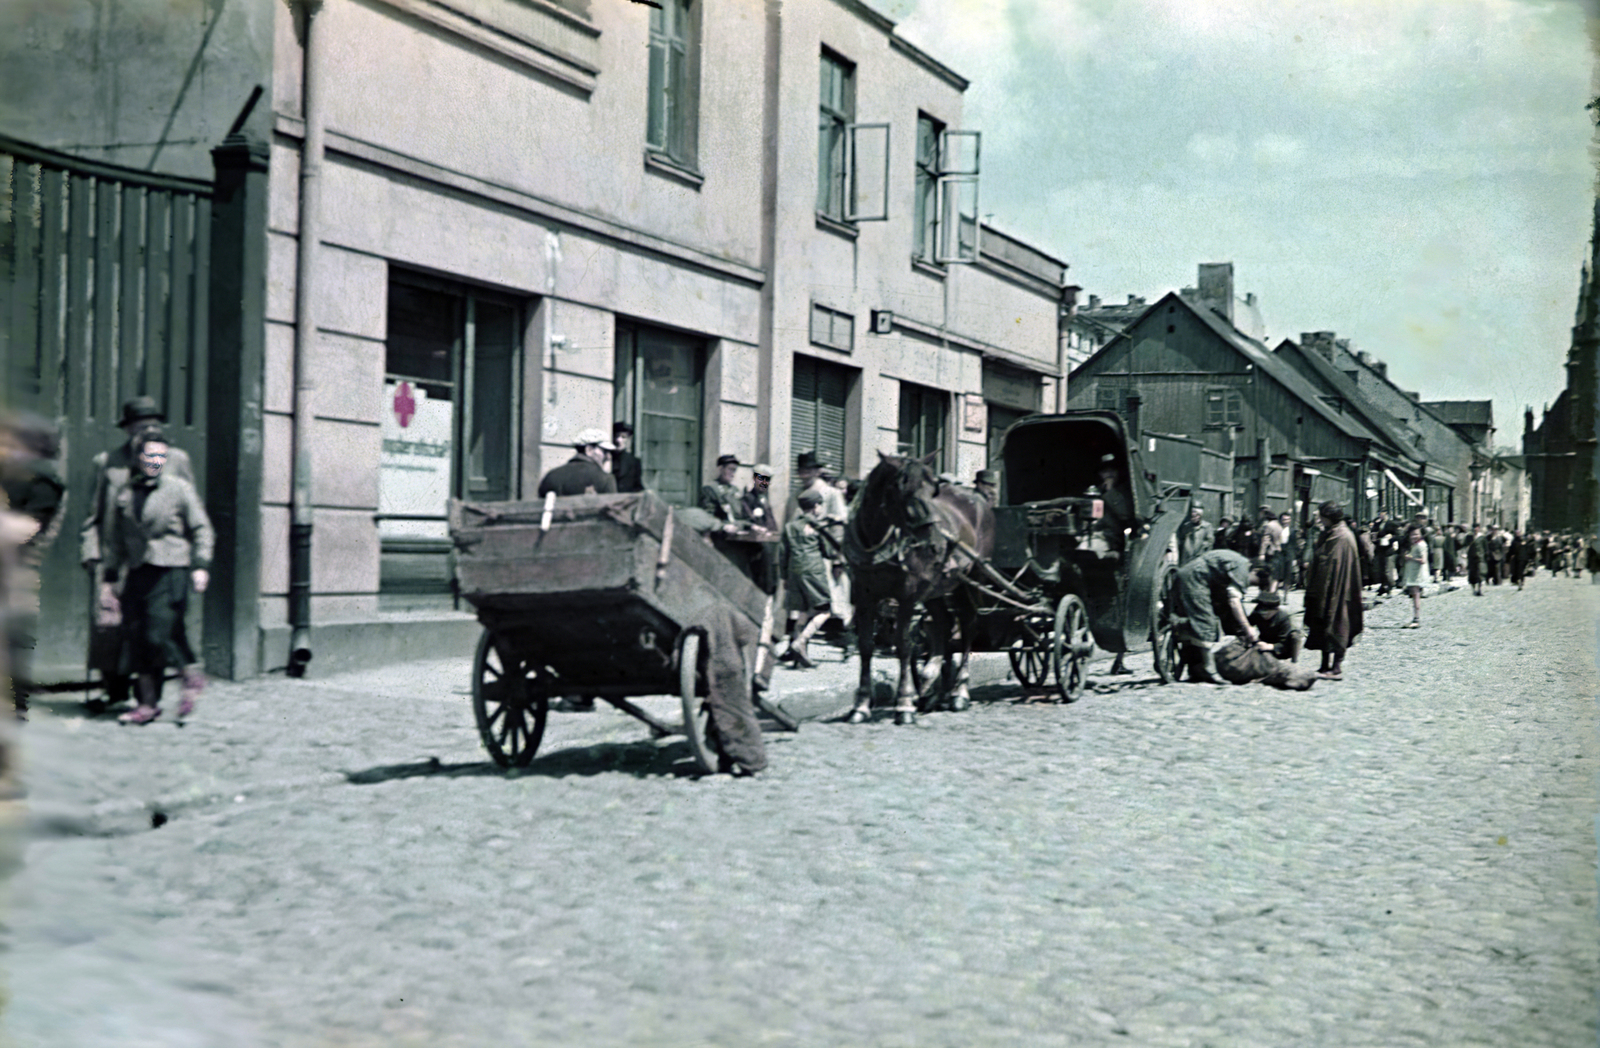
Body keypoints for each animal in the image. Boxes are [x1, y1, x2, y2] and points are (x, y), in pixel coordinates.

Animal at [844, 451, 992, 729]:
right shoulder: (863, 594)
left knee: (968, 626)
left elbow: (904, 645)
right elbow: (866, 646)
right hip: (936, 587)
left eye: (933, 490)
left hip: (969, 579)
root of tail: (981, 499)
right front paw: (861, 705)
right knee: (944, 624)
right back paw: (932, 683)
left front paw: (904, 704)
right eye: (902, 489)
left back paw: (959, 692)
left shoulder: (908, 595)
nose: (936, 543)